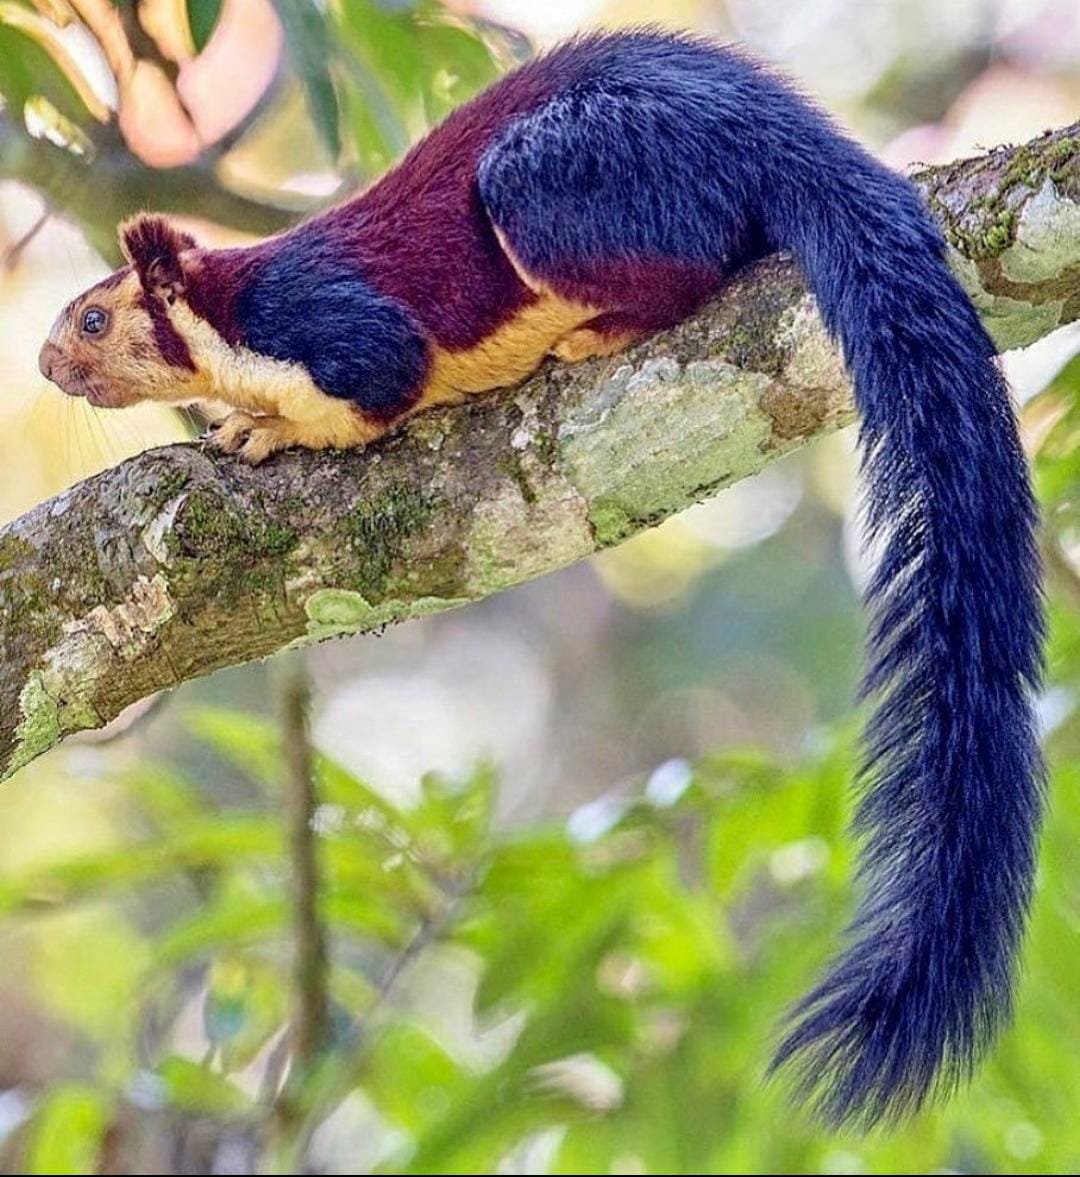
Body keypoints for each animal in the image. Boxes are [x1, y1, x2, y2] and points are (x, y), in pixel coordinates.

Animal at [39, 30, 1044, 1128]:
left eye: (94, 320)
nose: (43, 365)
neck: (224, 321)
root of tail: (778, 129)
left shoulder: (323, 323)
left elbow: (378, 385)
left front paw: (267, 429)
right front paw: (238, 419)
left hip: (564, 176)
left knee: (691, 261)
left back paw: (597, 327)